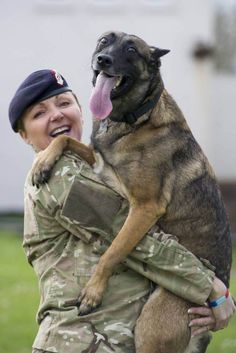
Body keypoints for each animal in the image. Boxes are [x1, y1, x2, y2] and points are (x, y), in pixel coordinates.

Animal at [30, 31, 230, 352]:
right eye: (103, 41)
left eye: (132, 50)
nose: (103, 60)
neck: (132, 119)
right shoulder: (100, 165)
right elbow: (65, 141)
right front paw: (43, 160)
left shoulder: (144, 208)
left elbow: (114, 250)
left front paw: (92, 292)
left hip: (151, 327)